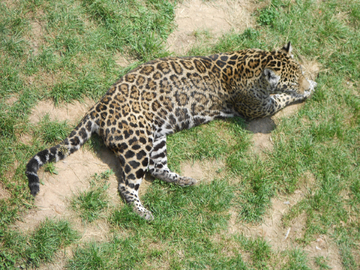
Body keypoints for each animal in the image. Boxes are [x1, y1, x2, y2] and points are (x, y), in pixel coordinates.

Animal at [25, 42, 316, 219]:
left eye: (300, 70)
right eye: (292, 80)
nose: (305, 82)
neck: (256, 62)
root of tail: (98, 107)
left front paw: (312, 82)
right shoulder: (259, 109)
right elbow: (282, 99)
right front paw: (309, 90)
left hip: (156, 136)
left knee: (156, 168)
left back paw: (185, 181)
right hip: (137, 143)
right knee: (126, 185)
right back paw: (144, 213)